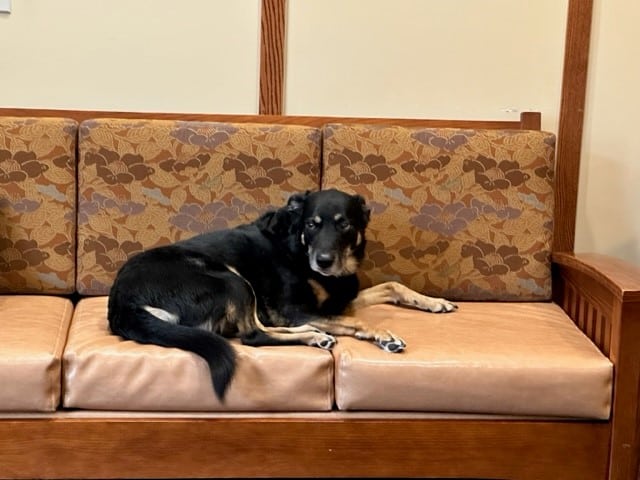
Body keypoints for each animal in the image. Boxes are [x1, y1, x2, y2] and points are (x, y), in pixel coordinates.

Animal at [107, 189, 456, 400]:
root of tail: (121, 305)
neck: (299, 251)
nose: (323, 261)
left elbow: (393, 286)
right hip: (230, 279)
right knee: (252, 335)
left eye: (344, 225)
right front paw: (384, 335)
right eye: (312, 224)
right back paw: (312, 334)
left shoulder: (341, 298)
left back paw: (315, 335)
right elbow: (356, 322)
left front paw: (434, 302)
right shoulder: (294, 309)